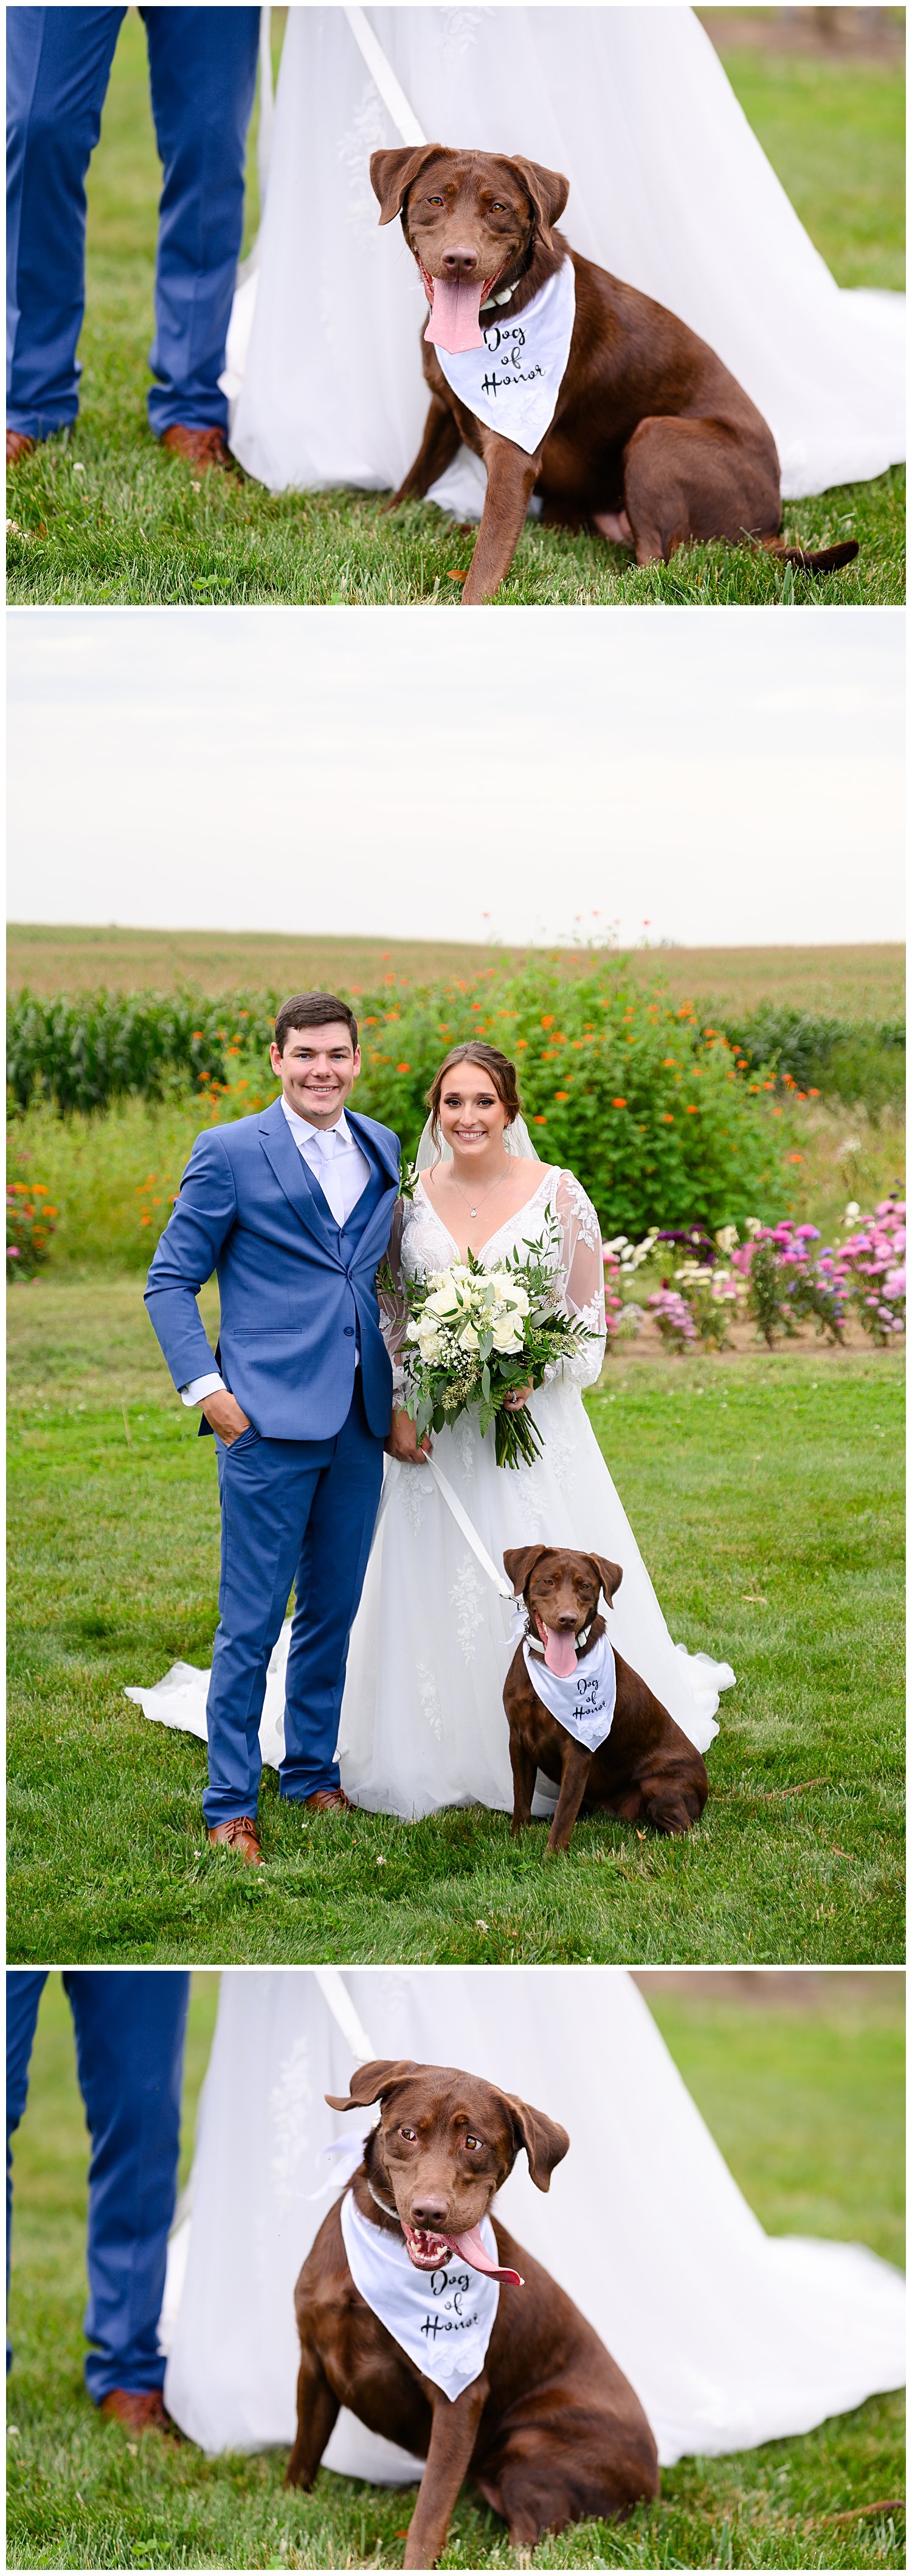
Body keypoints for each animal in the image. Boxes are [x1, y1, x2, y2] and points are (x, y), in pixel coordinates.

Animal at [288, 2061, 659, 2566]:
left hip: (530, 2445)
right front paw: (287, 2504)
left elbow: (433, 2503)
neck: (390, 2246)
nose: (429, 2211)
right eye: (408, 2132)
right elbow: (303, 2455)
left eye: (473, 2142)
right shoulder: (314, 2362)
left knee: (532, 2539)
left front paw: (418, 2560)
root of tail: (653, 2486)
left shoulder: (459, 2395)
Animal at [365, 145, 860, 602]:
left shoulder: (514, 450)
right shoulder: (443, 406)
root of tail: (768, 526)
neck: (491, 320)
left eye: (498, 207)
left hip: (655, 438)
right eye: (435, 200)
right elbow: (416, 477)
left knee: (656, 562)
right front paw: (378, 523)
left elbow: (491, 551)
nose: (460, 258)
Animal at [502, 1546, 711, 1855]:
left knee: (685, 1831)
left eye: (585, 1586)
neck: (550, 1666)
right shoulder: (518, 1739)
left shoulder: (578, 1749)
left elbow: (565, 1814)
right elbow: (521, 1799)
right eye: (548, 1581)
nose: (567, 1619)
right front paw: (518, 1840)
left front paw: (552, 1858)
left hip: (661, 1787)